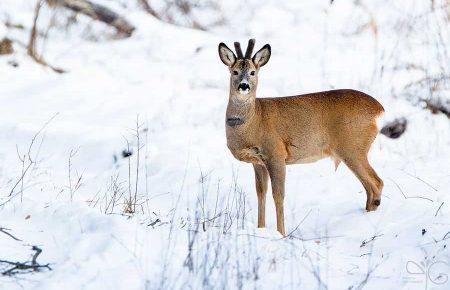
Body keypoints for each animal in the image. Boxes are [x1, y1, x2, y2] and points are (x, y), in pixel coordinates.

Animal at [218, 39, 384, 237]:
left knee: (376, 182)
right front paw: (261, 229)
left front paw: (281, 234)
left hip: (353, 147)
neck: (254, 121)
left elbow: (278, 195)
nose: (244, 85)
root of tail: (379, 109)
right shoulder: (258, 162)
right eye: (234, 71)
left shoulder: (276, 153)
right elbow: (261, 193)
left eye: (253, 72)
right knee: (369, 186)